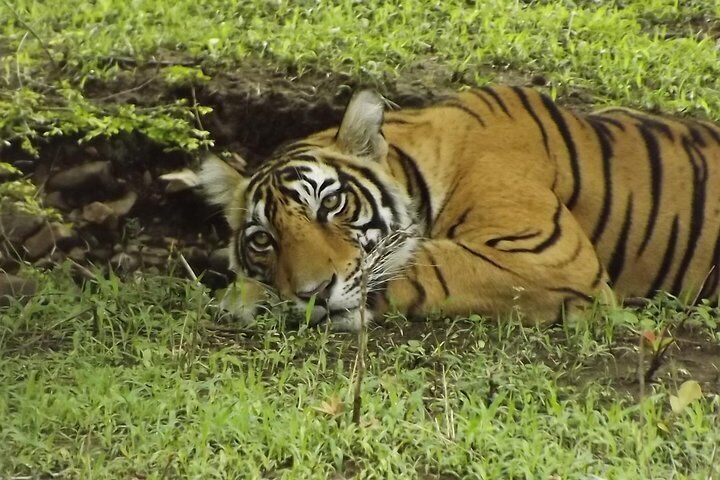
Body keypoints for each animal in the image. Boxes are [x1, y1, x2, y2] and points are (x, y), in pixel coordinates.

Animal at [198, 85, 720, 331]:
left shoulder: (553, 255)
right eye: (264, 239)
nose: (313, 294)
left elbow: (428, 262)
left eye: (331, 202)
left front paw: (244, 296)